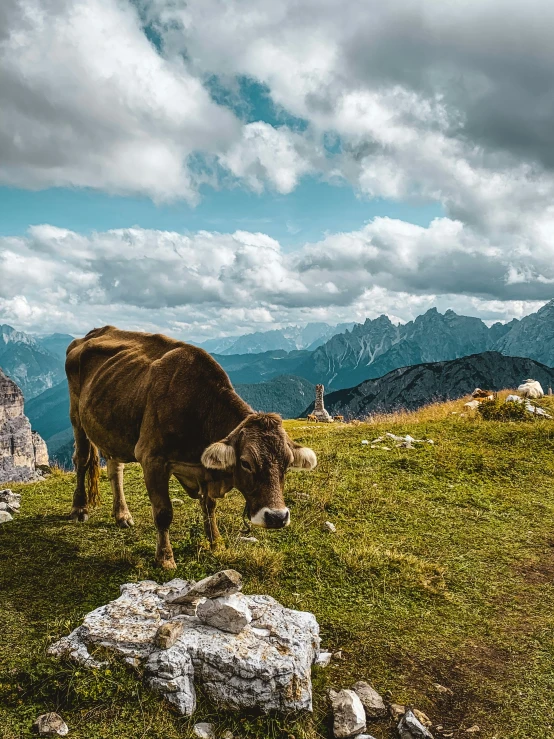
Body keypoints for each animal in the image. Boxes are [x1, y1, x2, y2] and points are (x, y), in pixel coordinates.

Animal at [64, 326, 314, 568]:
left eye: (288, 464)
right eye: (245, 463)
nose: (277, 517)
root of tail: (92, 333)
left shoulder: (205, 469)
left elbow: (209, 506)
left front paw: (216, 541)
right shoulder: (152, 459)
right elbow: (164, 513)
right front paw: (165, 558)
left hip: (113, 426)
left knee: (116, 469)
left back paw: (122, 515)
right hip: (77, 417)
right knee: (82, 461)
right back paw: (79, 509)